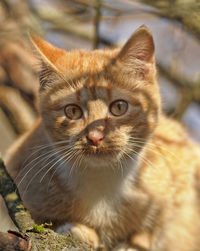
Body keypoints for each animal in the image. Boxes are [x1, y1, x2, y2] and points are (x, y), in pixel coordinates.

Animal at [4, 26, 200, 250]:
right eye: (72, 111)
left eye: (119, 107)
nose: (95, 137)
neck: (102, 180)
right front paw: (75, 229)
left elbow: (158, 226)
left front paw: (135, 241)